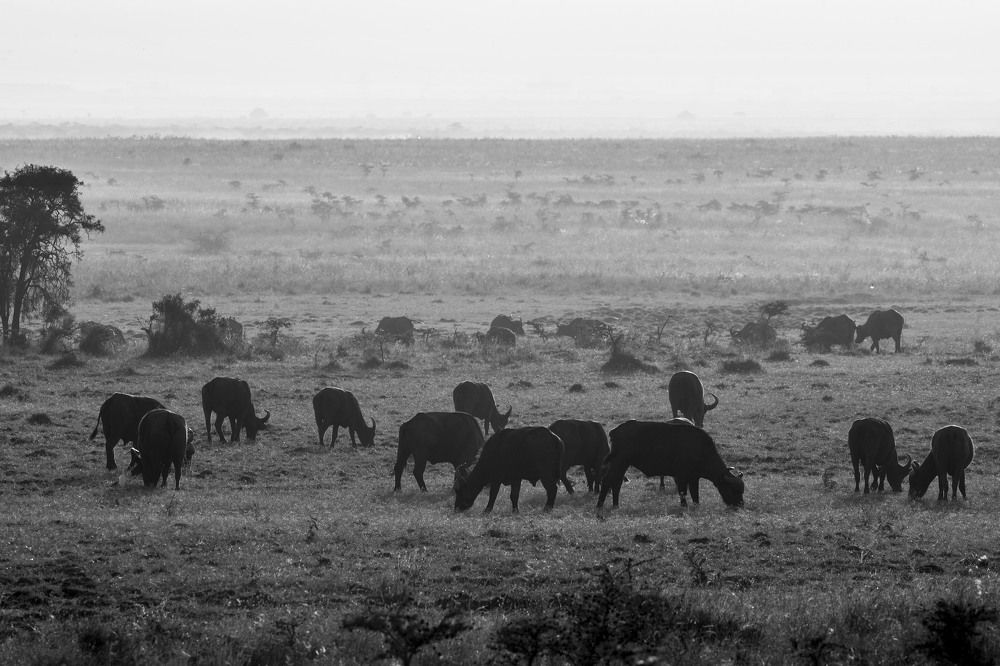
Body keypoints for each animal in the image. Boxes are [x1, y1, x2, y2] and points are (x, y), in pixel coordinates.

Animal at [597, 420, 745, 509]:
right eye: (733, 489)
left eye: (741, 490)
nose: (740, 505)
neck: (701, 450)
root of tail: (615, 431)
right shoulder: (682, 476)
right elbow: (683, 492)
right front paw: (684, 506)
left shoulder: (694, 478)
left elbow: (695, 495)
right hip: (620, 462)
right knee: (608, 481)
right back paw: (600, 505)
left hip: (622, 464)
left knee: (616, 482)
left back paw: (615, 505)